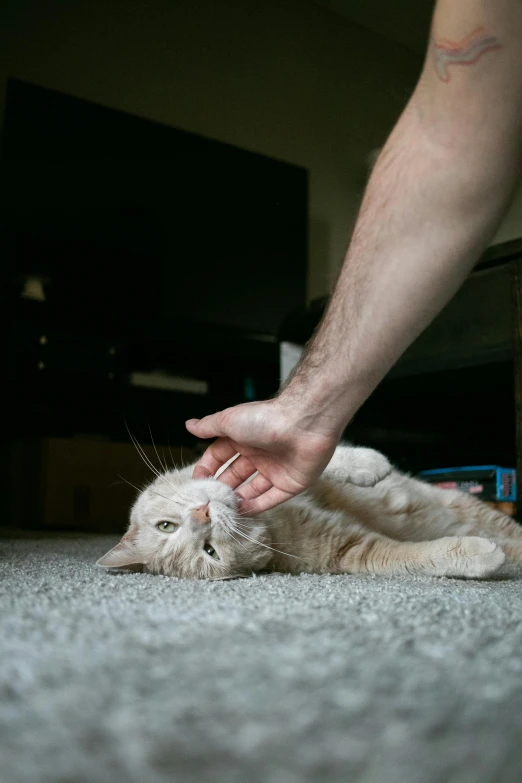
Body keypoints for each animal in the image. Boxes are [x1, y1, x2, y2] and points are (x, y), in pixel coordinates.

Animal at [97, 444, 520, 580]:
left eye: (165, 526)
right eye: (210, 552)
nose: (203, 514)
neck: (267, 518)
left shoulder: (262, 468)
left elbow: (313, 461)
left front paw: (368, 464)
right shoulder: (349, 550)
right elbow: (412, 556)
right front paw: (478, 555)